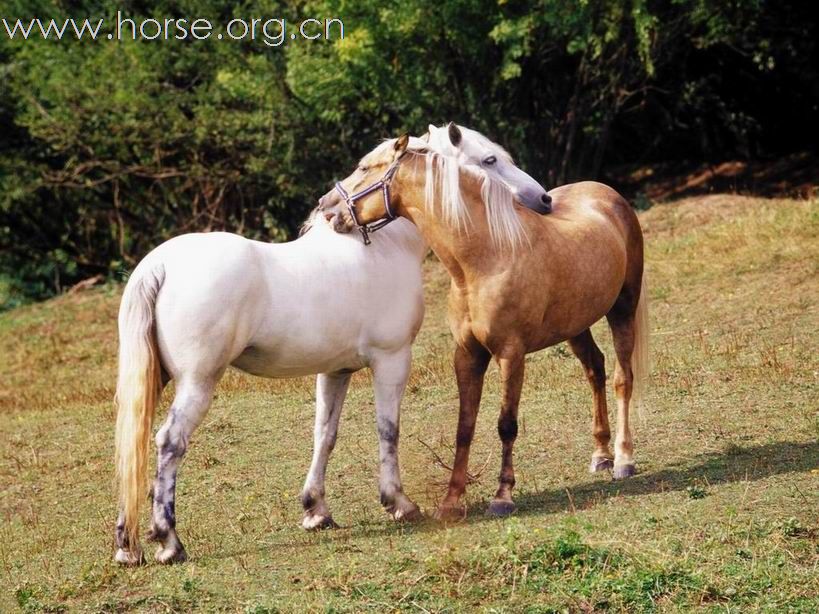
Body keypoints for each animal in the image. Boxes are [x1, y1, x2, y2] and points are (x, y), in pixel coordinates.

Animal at [112, 129, 548, 568]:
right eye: (490, 160)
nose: (543, 199)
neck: (383, 249)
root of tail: (160, 265)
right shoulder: (391, 360)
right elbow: (388, 429)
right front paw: (399, 503)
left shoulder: (335, 370)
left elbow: (325, 433)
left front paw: (315, 510)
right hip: (197, 382)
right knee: (169, 442)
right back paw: (169, 541)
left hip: (156, 380)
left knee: (133, 447)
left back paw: (128, 545)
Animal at [318, 129, 648, 520]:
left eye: (365, 167)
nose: (327, 208)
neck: (486, 257)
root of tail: (607, 194)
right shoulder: (467, 355)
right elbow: (465, 426)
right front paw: (451, 501)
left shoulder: (510, 354)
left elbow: (506, 424)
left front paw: (502, 496)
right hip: (575, 325)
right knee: (595, 370)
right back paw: (601, 455)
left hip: (622, 309)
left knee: (621, 379)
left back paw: (623, 460)